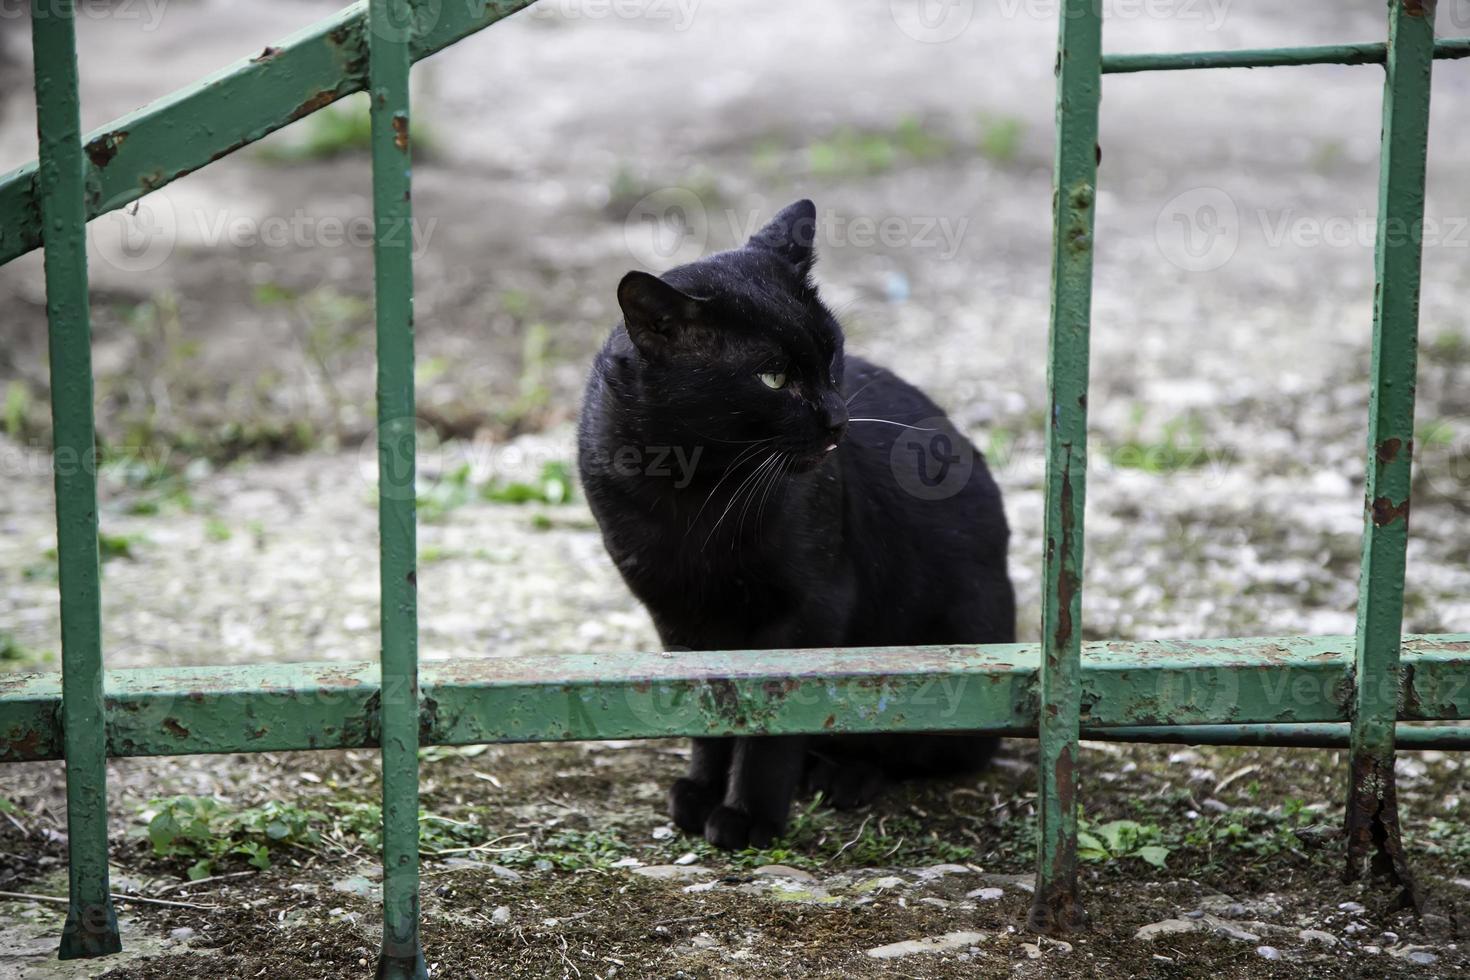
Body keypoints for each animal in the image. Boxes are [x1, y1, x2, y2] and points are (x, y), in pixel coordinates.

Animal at [573, 201, 1011, 852]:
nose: (838, 418)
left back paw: (844, 773)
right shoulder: (676, 615)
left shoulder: (812, 608)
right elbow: (709, 709)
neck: (696, 488)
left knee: (925, 747)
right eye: (773, 379)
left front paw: (749, 815)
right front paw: (703, 791)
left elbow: (774, 720)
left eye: (832, 356)